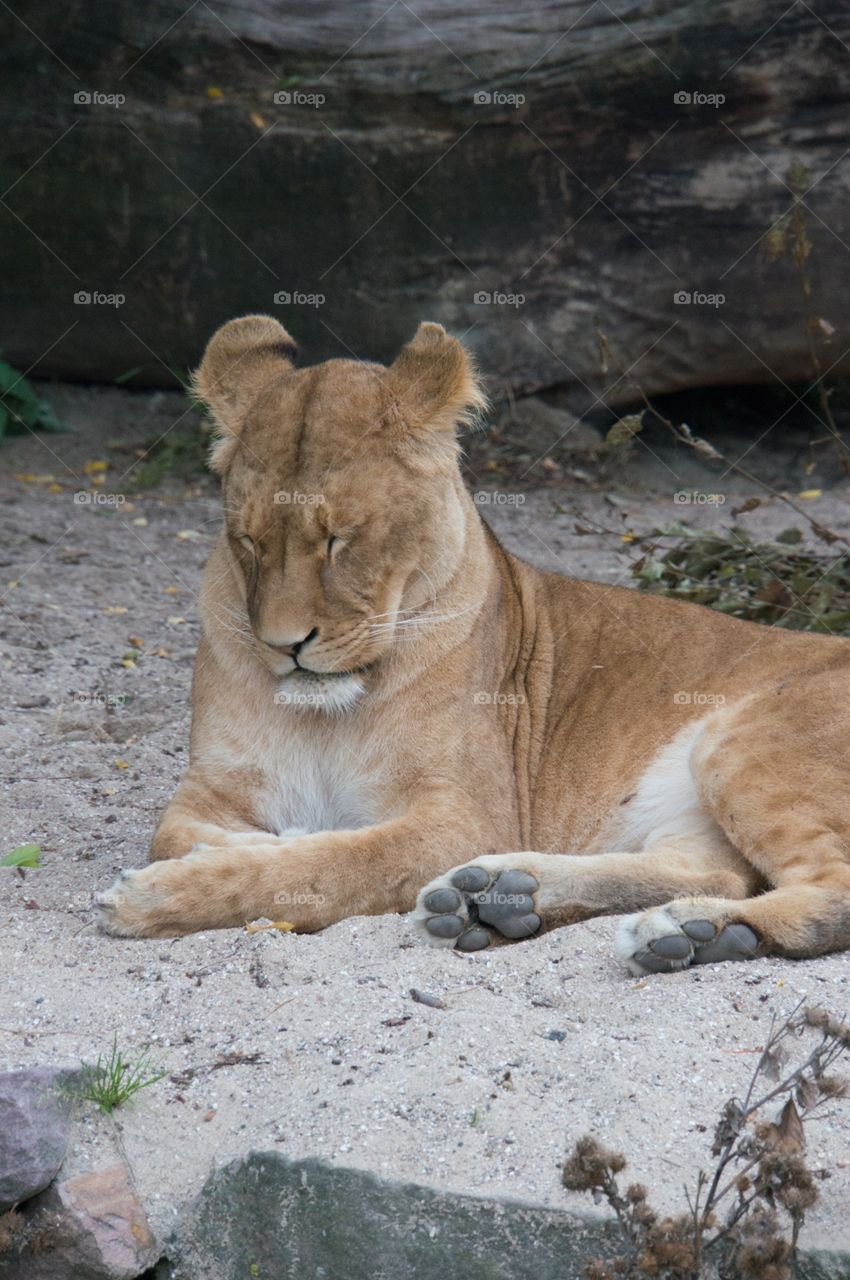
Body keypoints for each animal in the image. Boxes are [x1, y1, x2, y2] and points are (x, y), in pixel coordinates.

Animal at [96, 315, 850, 975]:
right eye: (249, 541)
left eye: (340, 540)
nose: (286, 646)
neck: (328, 713)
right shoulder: (210, 789)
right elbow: (181, 833)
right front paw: (263, 841)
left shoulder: (465, 814)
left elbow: (338, 864)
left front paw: (156, 895)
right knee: (711, 870)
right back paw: (500, 897)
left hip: (742, 741)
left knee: (825, 894)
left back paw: (691, 935)